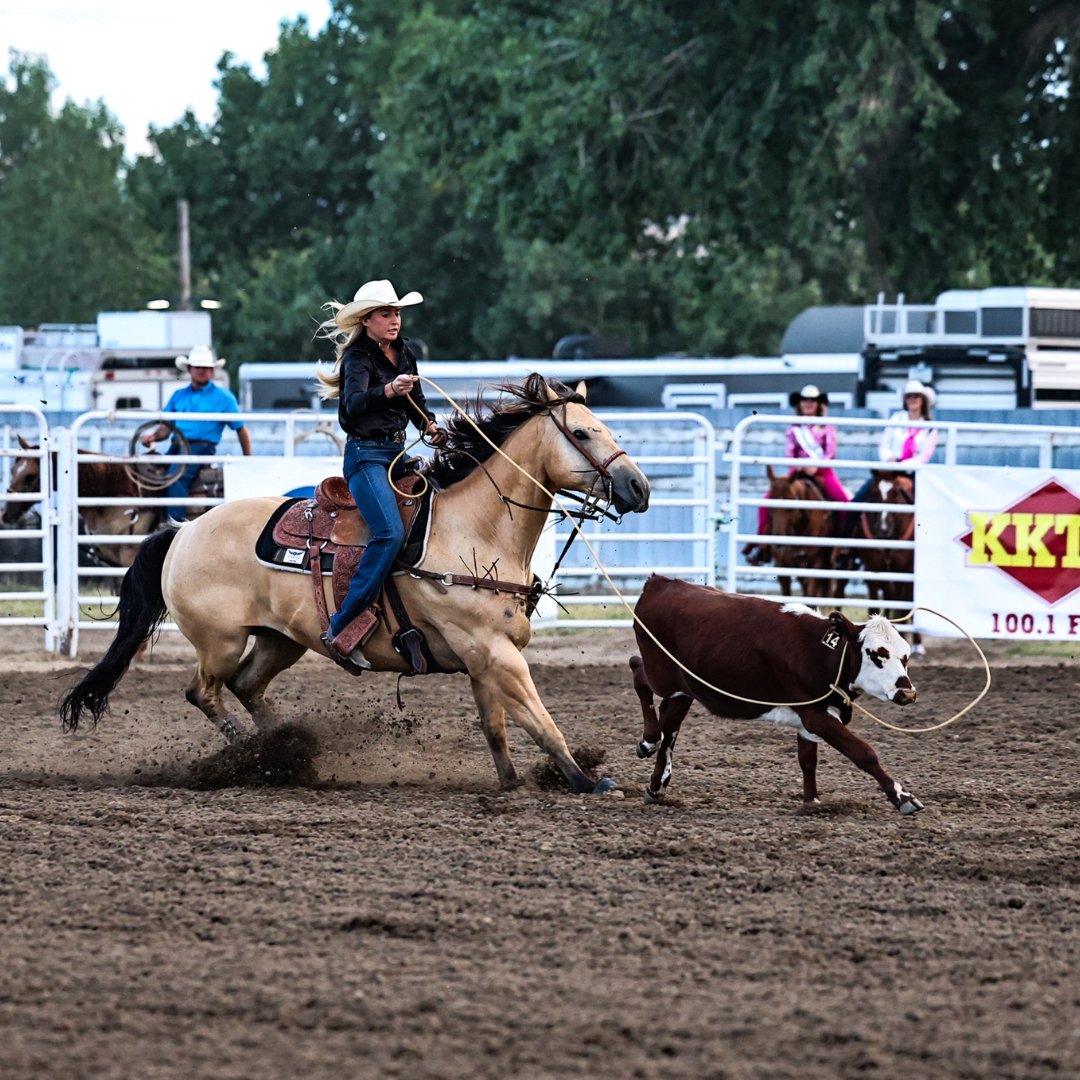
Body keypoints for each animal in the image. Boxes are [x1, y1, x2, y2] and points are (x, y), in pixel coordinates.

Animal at [628, 575, 924, 814]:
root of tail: (660, 583)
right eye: (876, 655)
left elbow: (808, 761)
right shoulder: (816, 715)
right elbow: (863, 752)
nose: (907, 693)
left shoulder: (811, 719)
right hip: (661, 675)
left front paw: (812, 802)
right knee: (637, 670)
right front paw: (903, 797)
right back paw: (649, 741)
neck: (820, 653)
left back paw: (655, 782)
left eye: (905, 656)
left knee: (670, 726)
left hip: (683, 689)